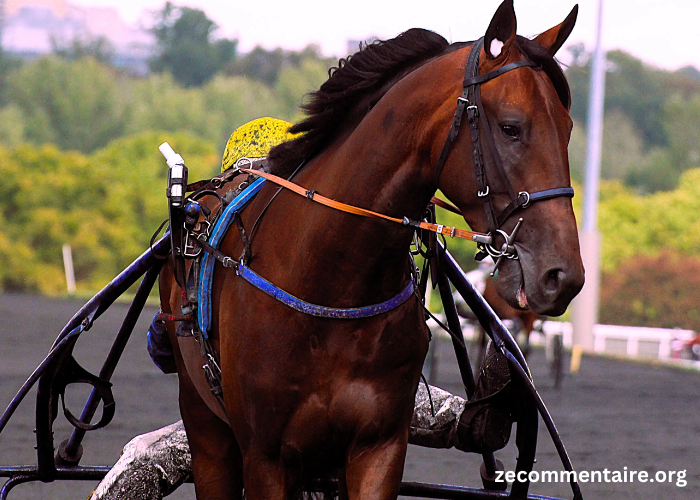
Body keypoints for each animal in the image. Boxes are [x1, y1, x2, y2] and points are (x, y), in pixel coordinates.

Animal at [160, 1, 584, 498]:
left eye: (568, 128)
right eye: (511, 127)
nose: (563, 275)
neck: (332, 282)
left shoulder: (378, 444)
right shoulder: (265, 456)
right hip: (207, 430)